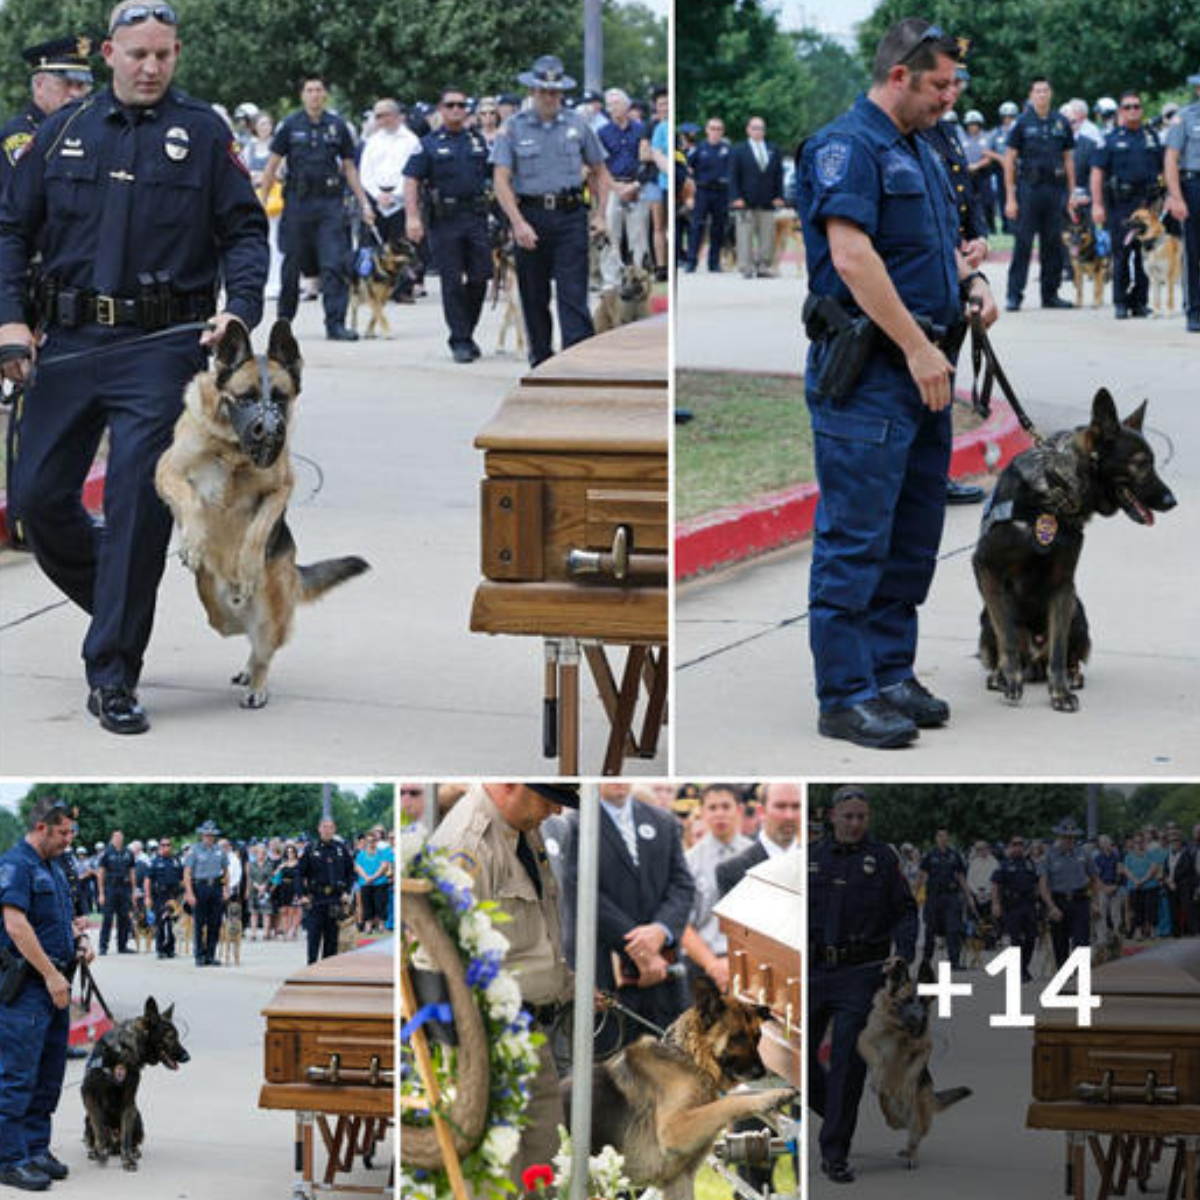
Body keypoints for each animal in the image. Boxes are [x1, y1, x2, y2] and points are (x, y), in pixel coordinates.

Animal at [81, 993, 189, 1171]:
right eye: (170, 1037)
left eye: (177, 1036)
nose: (187, 1057)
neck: (123, 1049)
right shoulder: (88, 1093)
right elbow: (100, 1128)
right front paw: (101, 1153)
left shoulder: (129, 1101)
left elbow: (126, 1136)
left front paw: (127, 1161)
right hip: (87, 1119)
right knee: (96, 1133)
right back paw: (95, 1151)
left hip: (137, 1116)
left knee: (130, 1140)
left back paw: (133, 1151)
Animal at [156, 324, 369, 705]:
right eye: (246, 397)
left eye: (281, 397)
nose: (269, 432)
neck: (232, 451)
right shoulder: (168, 472)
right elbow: (191, 500)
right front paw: (193, 542)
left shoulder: (282, 488)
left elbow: (259, 528)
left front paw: (248, 565)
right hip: (215, 606)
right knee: (238, 629)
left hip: (270, 614)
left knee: (263, 648)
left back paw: (256, 681)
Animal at [564, 974, 796, 1200]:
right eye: (737, 1037)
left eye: (758, 1037)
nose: (762, 1072)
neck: (689, 1059)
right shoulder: (675, 1129)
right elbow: (729, 1102)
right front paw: (775, 1095)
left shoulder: (679, 1179)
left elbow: (735, 1098)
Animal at [854, 960, 974, 1166]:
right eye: (908, 1000)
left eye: (924, 1001)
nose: (920, 1022)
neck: (898, 1030)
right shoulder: (864, 1040)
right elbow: (878, 1059)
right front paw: (877, 1079)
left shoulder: (925, 1048)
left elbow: (913, 1071)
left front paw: (907, 1088)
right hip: (887, 1107)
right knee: (895, 1121)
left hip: (921, 1114)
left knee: (915, 1134)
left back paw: (911, 1153)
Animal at [969, 391, 1176, 710]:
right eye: (1141, 463)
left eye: (1152, 462)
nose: (1171, 501)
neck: (1054, 490)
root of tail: (1035, 659)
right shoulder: (985, 566)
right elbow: (1008, 637)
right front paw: (1011, 679)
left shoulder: (1063, 584)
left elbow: (1058, 648)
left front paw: (1060, 693)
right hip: (985, 618)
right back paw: (999, 675)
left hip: (1078, 610)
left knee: (1063, 654)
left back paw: (1071, 674)